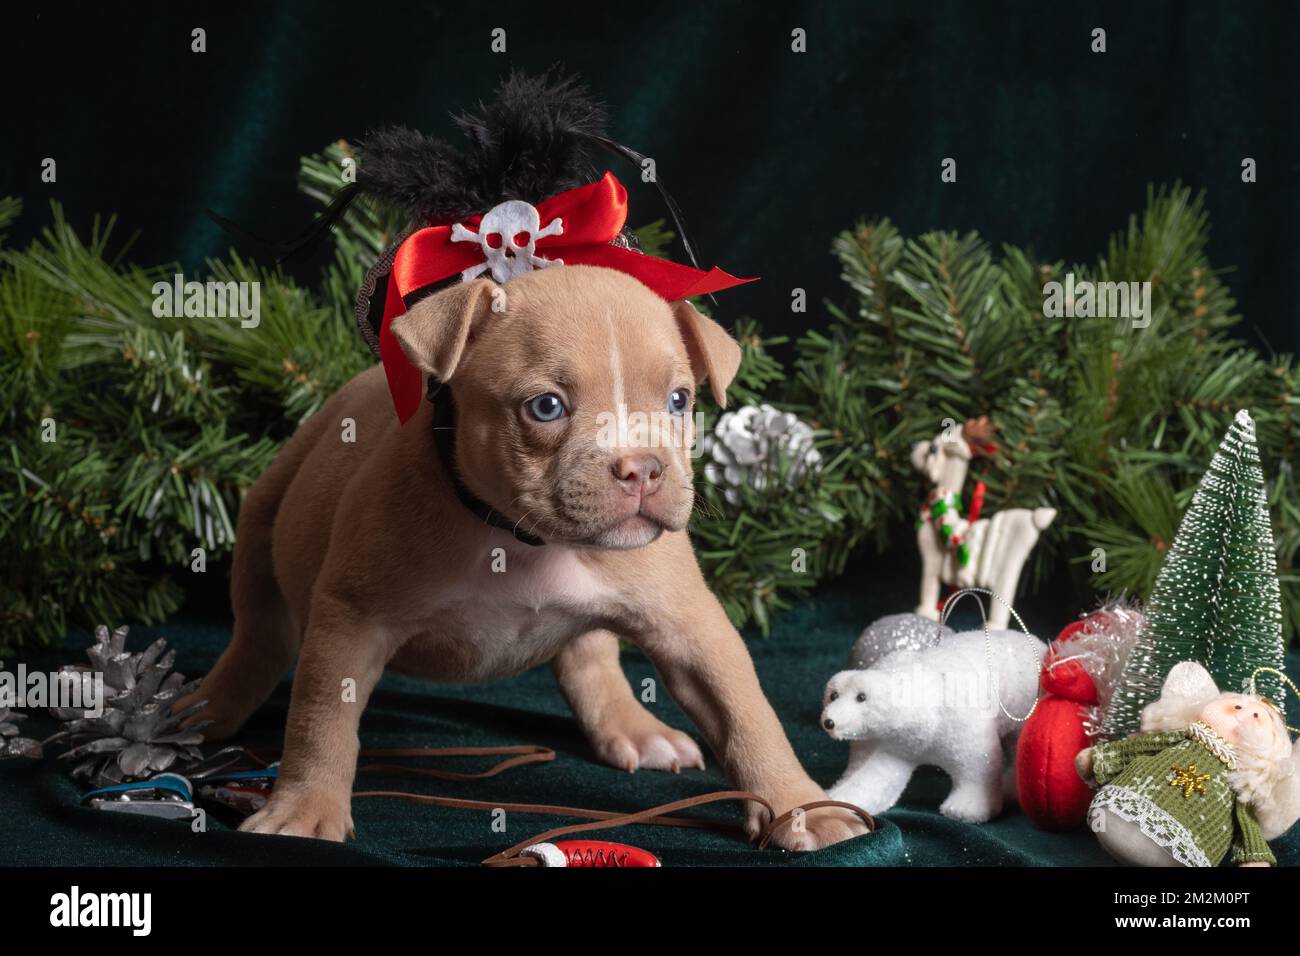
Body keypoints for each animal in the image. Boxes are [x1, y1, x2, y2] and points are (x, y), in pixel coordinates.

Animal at [180, 264, 873, 853]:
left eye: (679, 401)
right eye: (546, 406)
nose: (643, 468)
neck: (525, 539)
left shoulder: (691, 627)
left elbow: (747, 715)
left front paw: (800, 808)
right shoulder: (352, 619)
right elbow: (323, 718)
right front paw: (304, 809)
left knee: (590, 654)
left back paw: (632, 726)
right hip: (265, 510)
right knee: (260, 634)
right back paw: (205, 709)